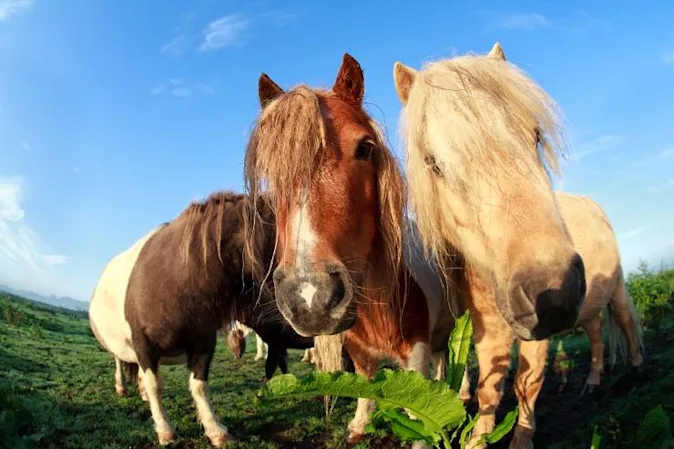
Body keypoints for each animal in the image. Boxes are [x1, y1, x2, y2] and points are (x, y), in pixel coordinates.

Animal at [89, 191, 313, 447]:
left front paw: (215, 429)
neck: (180, 282)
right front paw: (165, 430)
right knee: (119, 361)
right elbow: (155, 385)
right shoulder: (143, 344)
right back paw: (121, 387)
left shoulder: (203, 342)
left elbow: (199, 386)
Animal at [243, 53, 455, 446]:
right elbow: (366, 387)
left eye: (365, 148)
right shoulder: (357, 350)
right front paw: (358, 426)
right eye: (271, 174)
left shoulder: (416, 353)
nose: (309, 297)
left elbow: (419, 407)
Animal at [392, 42, 588, 449]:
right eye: (434, 164)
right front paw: (477, 437)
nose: (555, 291)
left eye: (536, 136)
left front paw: (522, 438)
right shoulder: (486, 331)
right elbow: (488, 391)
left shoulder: (535, 334)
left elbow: (527, 384)